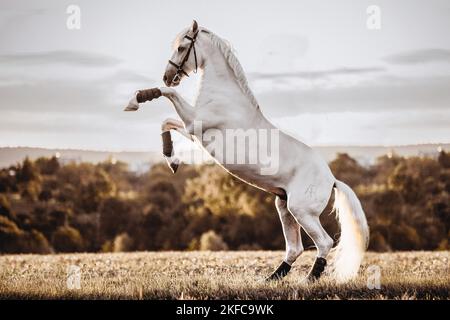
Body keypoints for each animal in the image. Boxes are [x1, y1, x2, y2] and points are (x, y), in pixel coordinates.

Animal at [125, 21, 370, 282]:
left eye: (181, 48)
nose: (168, 76)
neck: (225, 95)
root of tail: (332, 179)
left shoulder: (194, 123)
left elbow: (167, 96)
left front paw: (135, 100)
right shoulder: (193, 132)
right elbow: (166, 122)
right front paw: (172, 161)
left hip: (302, 211)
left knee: (324, 242)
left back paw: (308, 280)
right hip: (284, 206)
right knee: (295, 248)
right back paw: (272, 278)